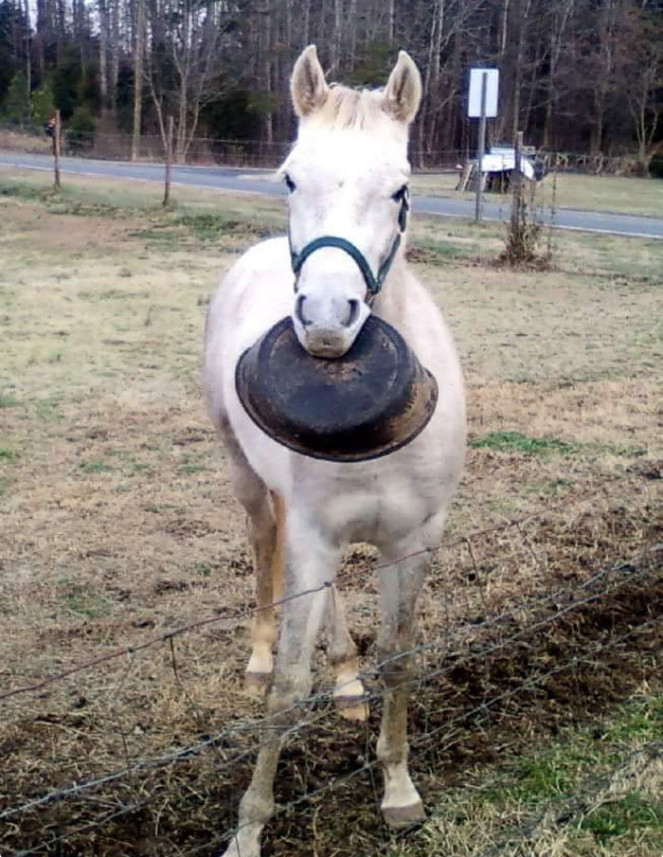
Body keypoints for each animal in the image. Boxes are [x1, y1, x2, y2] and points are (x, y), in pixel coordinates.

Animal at [204, 45, 466, 856]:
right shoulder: (317, 535)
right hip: (243, 474)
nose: (324, 319)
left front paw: (399, 788)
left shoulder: (414, 538)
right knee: (264, 543)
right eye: (291, 177)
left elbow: (399, 657)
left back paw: (346, 677)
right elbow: (290, 688)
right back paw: (259, 654)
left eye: (401, 188)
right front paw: (248, 826)